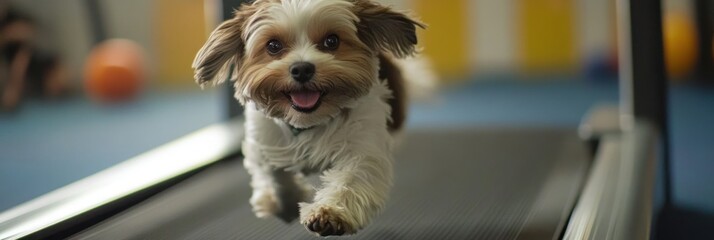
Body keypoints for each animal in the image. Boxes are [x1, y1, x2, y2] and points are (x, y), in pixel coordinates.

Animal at [191, 0, 428, 236]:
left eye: (331, 41)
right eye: (273, 45)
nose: (302, 68)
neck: (308, 120)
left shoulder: (362, 143)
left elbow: (352, 178)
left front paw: (330, 212)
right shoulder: (263, 140)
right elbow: (273, 173)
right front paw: (285, 203)